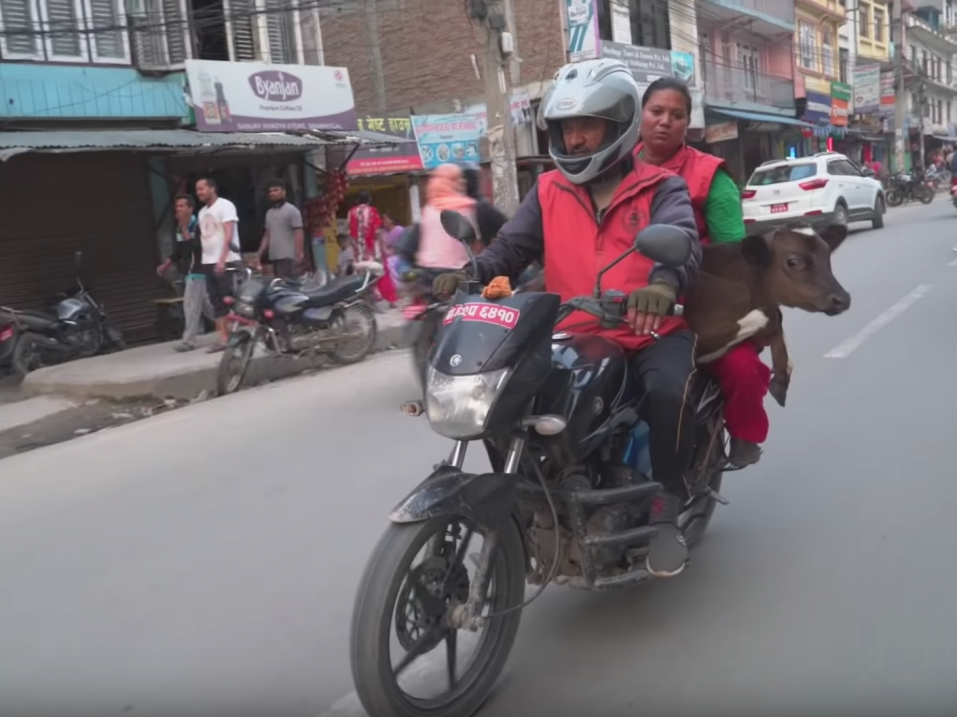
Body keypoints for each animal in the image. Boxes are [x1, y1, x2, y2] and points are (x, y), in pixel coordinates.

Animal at [684, 221, 848, 406]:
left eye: (827, 256)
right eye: (793, 262)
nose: (843, 299)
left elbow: (777, 317)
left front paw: (781, 375)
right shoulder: (701, 335)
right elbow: (772, 316)